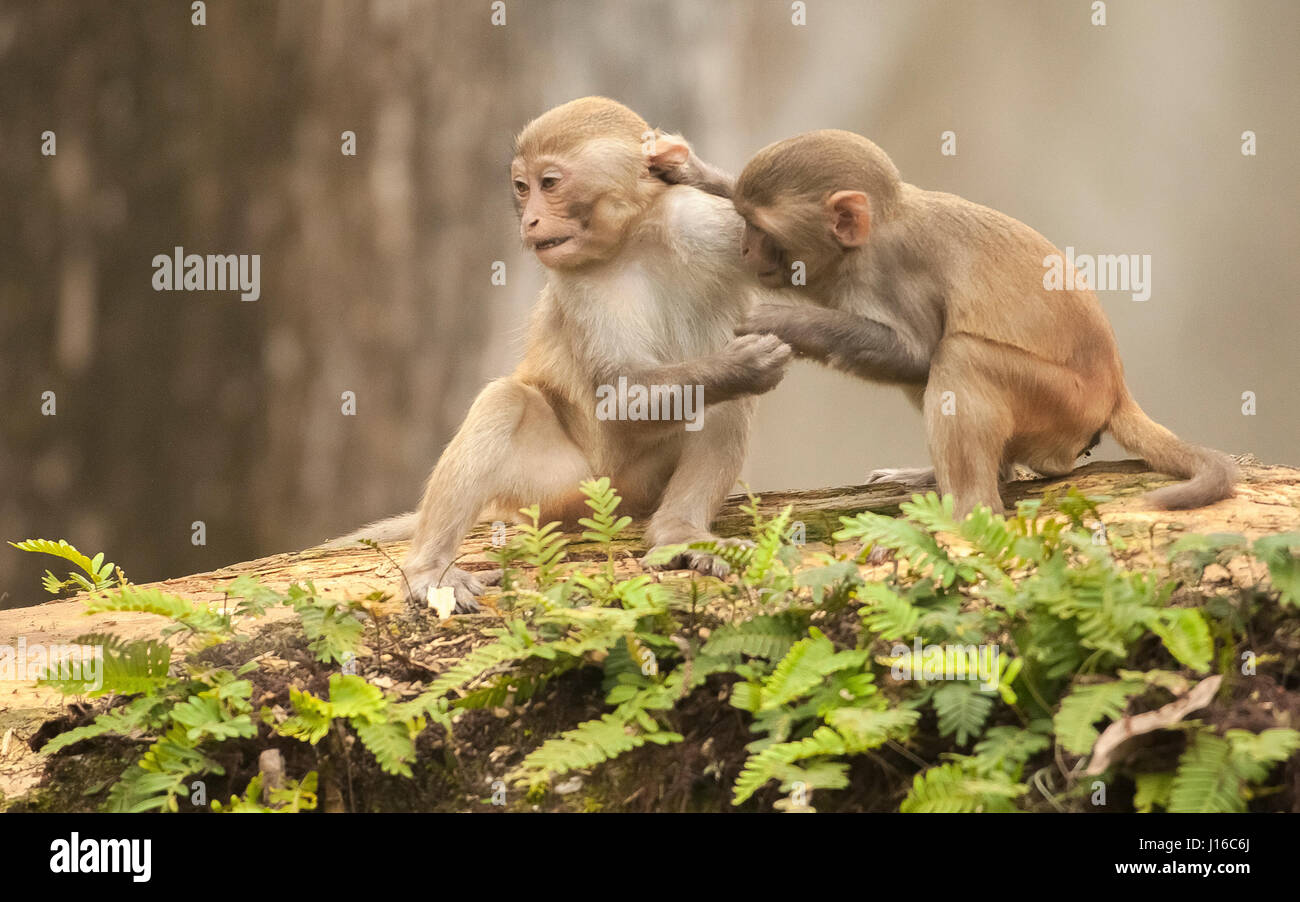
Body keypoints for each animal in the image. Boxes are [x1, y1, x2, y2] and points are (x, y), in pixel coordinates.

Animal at [326, 98, 793, 613]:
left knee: (726, 404)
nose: (528, 220)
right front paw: (741, 364)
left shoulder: (708, 224)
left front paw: (686, 164)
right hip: (558, 493)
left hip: (640, 486)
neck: (637, 236)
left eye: (549, 184)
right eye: (521, 187)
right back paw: (430, 570)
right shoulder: (577, 281)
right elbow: (618, 399)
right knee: (505, 402)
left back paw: (679, 532)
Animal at [659, 129, 1237, 517]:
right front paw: (692, 172)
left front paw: (780, 320)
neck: (874, 233)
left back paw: (969, 516)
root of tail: (1114, 390)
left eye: (760, 229)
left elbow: (918, 351)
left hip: (1061, 405)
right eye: (744, 219)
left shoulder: (894, 271)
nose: (744, 248)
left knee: (960, 355)